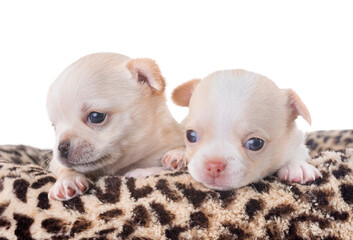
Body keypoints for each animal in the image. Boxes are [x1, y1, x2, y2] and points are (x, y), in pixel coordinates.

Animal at [46, 53, 183, 201]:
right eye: (54, 127)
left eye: (96, 116)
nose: (61, 147)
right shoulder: (55, 163)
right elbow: (62, 167)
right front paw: (67, 181)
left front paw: (177, 155)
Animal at [170, 70, 322, 191]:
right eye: (191, 135)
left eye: (255, 143)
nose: (213, 166)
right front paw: (178, 154)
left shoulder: (296, 143)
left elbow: (296, 154)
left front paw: (297, 166)